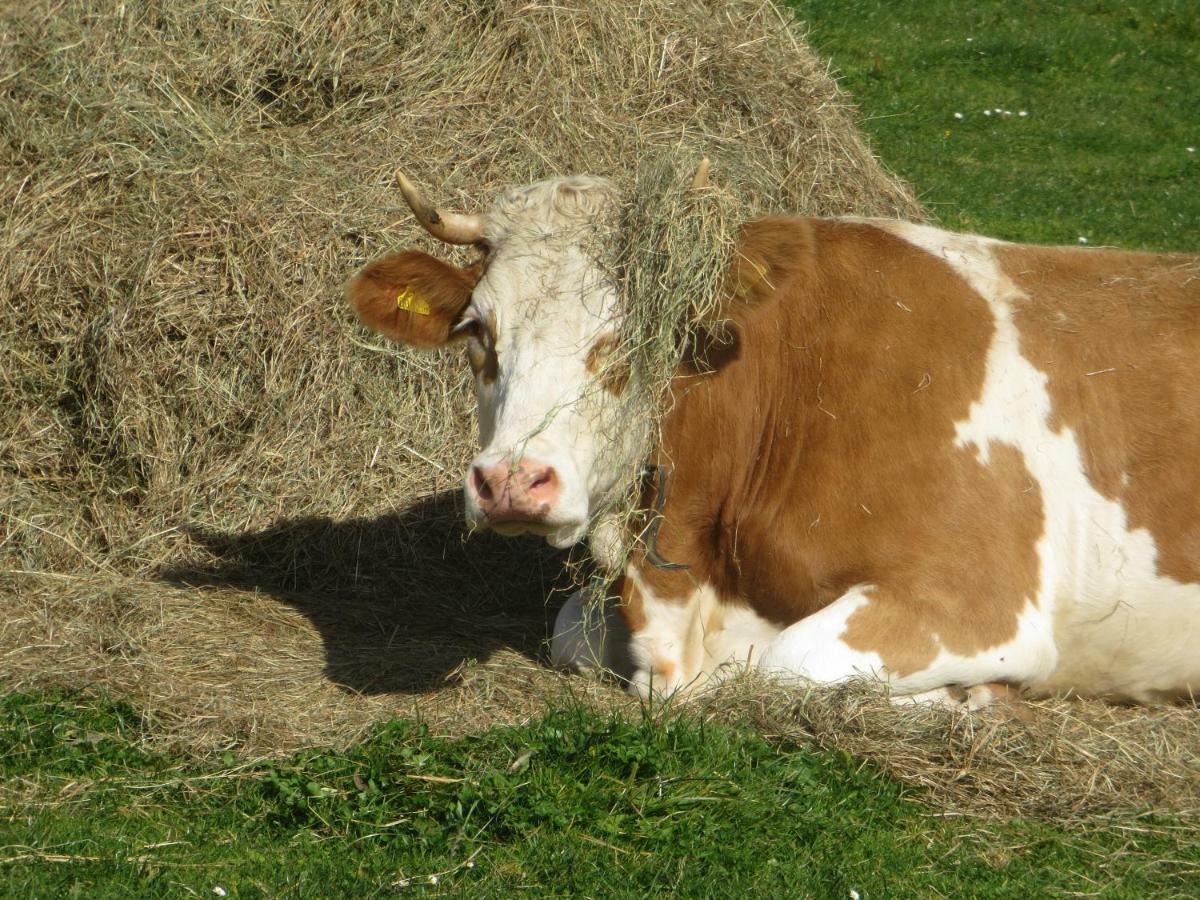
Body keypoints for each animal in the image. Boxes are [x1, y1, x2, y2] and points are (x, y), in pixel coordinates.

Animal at [350, 170, 1200, 710]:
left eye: (636, 333)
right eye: (476, 329)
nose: (512, 482)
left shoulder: (976, 600)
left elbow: (773, 667)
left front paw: (966, 698)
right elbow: (573, 634)